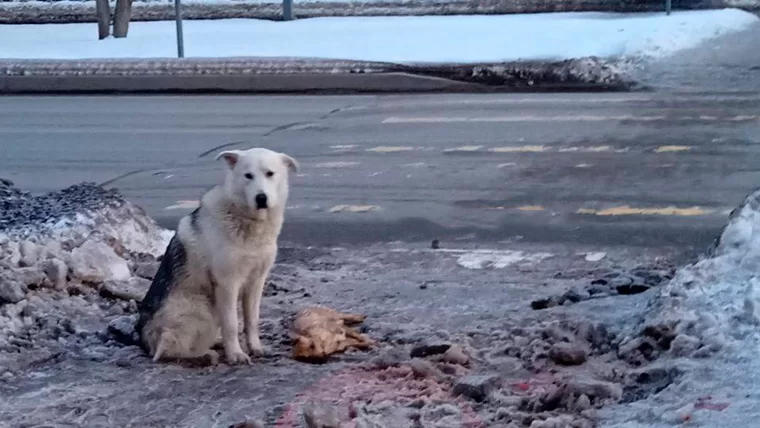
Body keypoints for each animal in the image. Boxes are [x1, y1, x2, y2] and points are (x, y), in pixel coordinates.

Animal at [138, 147, 298, 364]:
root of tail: (145, 342)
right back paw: (204, 354)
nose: (261, 198)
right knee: (167, 351)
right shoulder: (227, 283)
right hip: (202, 309)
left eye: (270, 174)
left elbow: (252, 320)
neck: (246, 221)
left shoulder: (256, 281)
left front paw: (255, 347)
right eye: (248, 175)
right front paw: (235, 354)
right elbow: (231, 324)